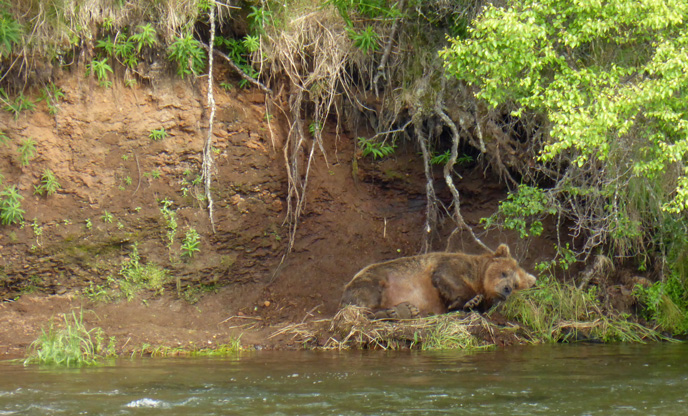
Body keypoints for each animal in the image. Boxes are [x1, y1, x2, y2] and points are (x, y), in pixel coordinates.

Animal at [338, 244, 536, 318]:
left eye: (516, 285)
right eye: (504, 273)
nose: (506, 289)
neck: (478, 278)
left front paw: (473, 303)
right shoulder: (451, 263)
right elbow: (446, 276)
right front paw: (472, 299)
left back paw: (406, 309)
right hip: (375, 277)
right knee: (364, 301)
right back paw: (394, 311)